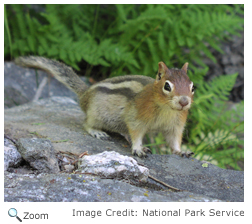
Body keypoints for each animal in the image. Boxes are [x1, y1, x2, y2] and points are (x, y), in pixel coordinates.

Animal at [14, 56, 195, 158]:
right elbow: (136, 133)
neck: (167, 109)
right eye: (167, 86)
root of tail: (85, 94)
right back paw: (97, 132)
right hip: (96, 114)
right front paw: (138, 148)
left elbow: (174, 140)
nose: (184, 102)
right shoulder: (136, 117)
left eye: (193, 87)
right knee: (86, 123)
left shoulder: (176, 125)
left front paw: (181, 151)